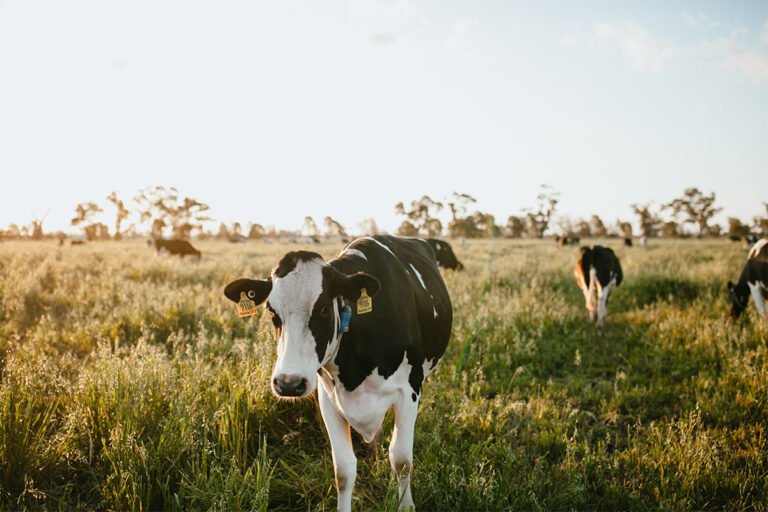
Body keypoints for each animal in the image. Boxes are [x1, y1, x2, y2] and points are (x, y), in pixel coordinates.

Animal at [223, 235, 453, 511]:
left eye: (323, 308)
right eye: (271, 311)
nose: (288, 383)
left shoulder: (409, 391)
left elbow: (401, 459)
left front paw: (405, 505)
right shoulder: (328, 399)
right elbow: (343, 470)